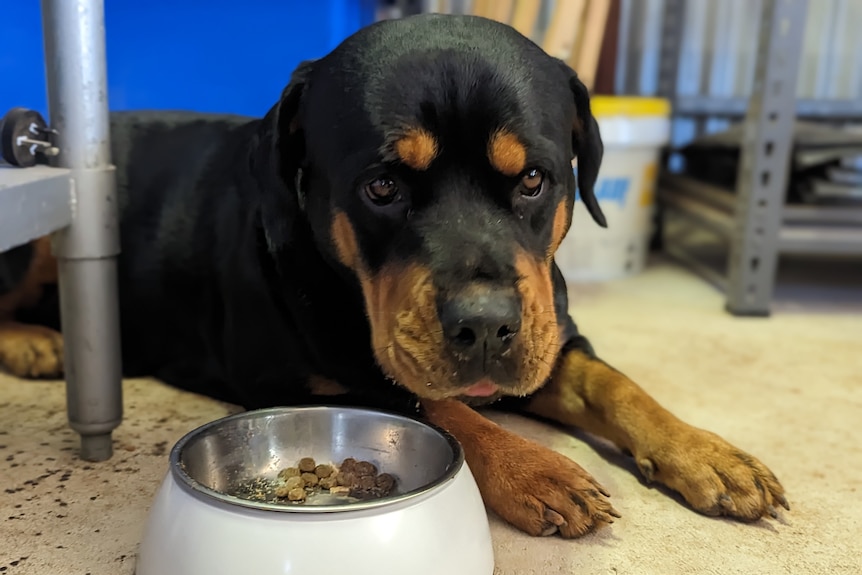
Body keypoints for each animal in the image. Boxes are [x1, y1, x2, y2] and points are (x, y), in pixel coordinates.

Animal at [0, 14, 788, 540]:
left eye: (535, 178)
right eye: (381, 187)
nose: (485, 325)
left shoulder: (548, 335)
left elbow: (614, 383)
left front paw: (707, 453)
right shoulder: (299, 379)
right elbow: (436, 406)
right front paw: (536, 469)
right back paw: (35, 342)